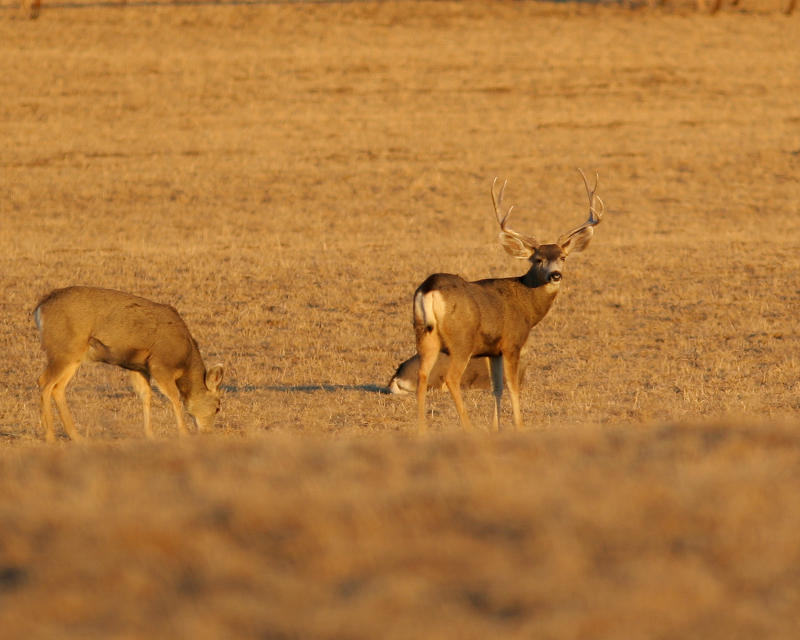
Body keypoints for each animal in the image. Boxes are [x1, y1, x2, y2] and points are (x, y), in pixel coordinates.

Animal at [32, 288, 223, 442]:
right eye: (217, 407)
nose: (207, 433)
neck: (184, 361)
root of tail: (40, 308)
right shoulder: (159, 364)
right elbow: (174, 397)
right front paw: (183, 433)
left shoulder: (139, 367)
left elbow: (146, 395)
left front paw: (149, 434)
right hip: (64, 349)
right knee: (44, 382)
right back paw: (50, 436)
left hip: (74, 356)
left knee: (58, 387)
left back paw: (76, 436)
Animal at [416, 169, 604, 436]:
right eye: (537, 259)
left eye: (563, 257)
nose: (555, 275)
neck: (526, 304)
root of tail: (430, 287)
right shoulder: (512, 342)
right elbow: (513, 386)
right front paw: (519, 426)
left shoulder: (492, 349)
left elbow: (497, 388)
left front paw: (496, 426)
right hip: (461, 340)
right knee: (451, 378)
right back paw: (468, 427)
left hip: (425, 334)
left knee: (422, 374)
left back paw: (421, 429)